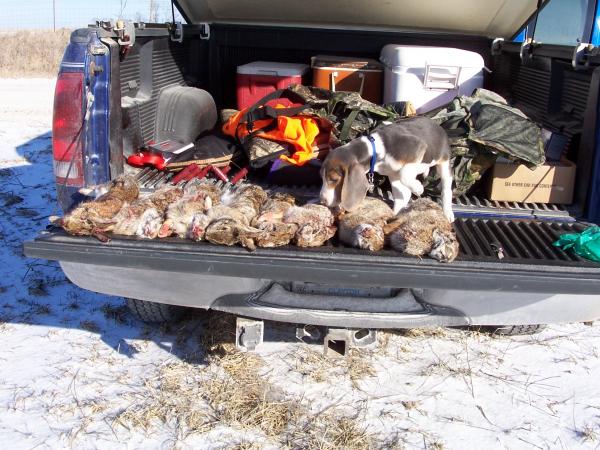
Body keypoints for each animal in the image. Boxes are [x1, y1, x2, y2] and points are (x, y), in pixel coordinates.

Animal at [322, 116, 452, 221]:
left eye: (333, 179)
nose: (322, 200)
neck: (375, 149)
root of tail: (437, 125)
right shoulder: (393, 174)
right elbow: (402, 194)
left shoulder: (418, 147)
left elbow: (404, 173)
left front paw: (418, 188)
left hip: (443, 163)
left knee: (446, 189)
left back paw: (448, 212)